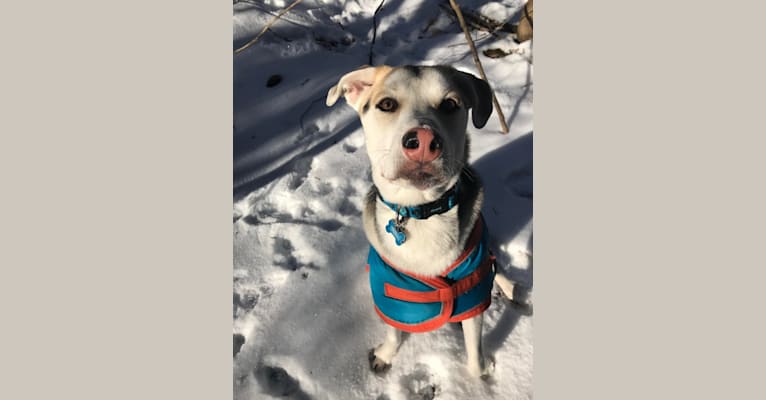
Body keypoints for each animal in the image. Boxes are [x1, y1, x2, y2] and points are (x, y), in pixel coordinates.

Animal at [324, 65, 516, 378]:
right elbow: (394, 328)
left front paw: (481, 374)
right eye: (386, 104)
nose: (424, 142)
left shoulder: (473, 290)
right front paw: (386, 355)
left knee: (494, 262)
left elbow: (474, 353)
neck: (422, 210)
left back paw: (510, 286)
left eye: (450, 104)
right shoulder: (392, 286)